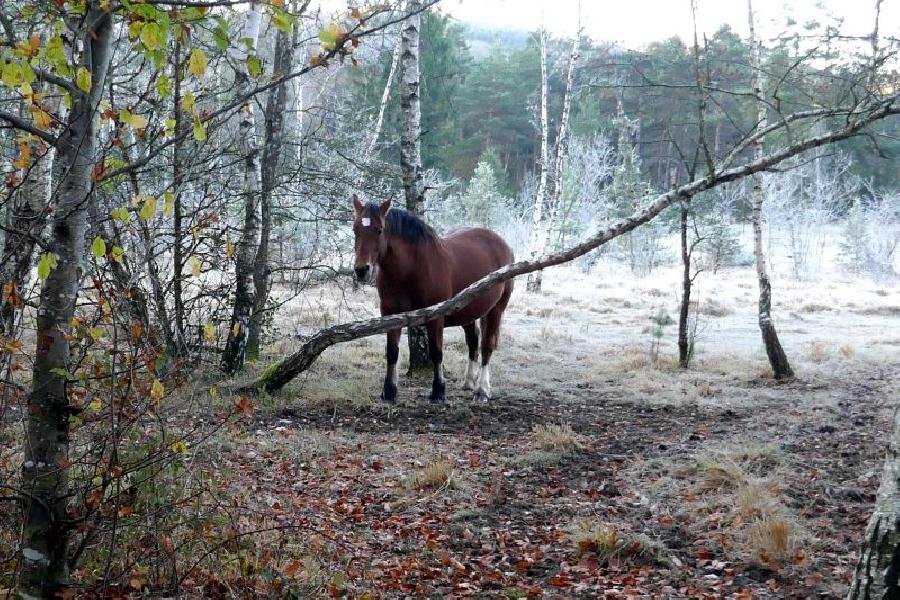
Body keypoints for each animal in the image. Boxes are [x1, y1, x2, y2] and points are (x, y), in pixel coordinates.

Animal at [352, 197, 512, 404]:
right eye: (355, 229)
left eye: (379, 230)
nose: (361, 270)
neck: (411, 268)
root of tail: (503, 244)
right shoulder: (390, 314)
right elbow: (392, 352)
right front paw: (389, 391)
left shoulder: (435, 317)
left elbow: (436, 352)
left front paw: (438, 391)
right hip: (469, 311)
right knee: (473, 341)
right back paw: (469, 382)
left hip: (496, 310)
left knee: (486, 346)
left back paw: (482, 390)